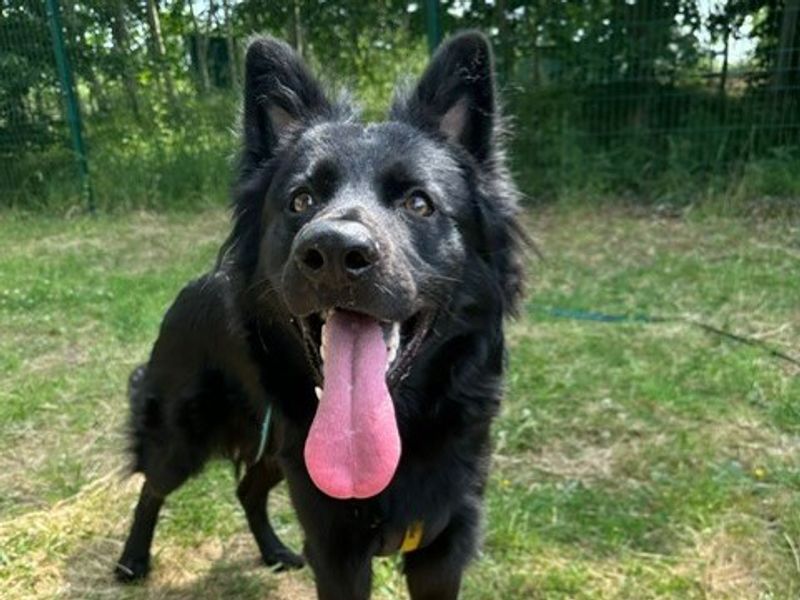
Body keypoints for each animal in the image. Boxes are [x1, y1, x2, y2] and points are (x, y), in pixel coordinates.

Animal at [117, 31, 524, 600]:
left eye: (419, 203)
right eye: (301, 200)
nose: (333, 251)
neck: (399, 430)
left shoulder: (442, 548)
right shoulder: (336, 548)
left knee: (247, 489)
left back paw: (273, 551)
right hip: (183, 436)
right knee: (152, 486)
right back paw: (132, 559)